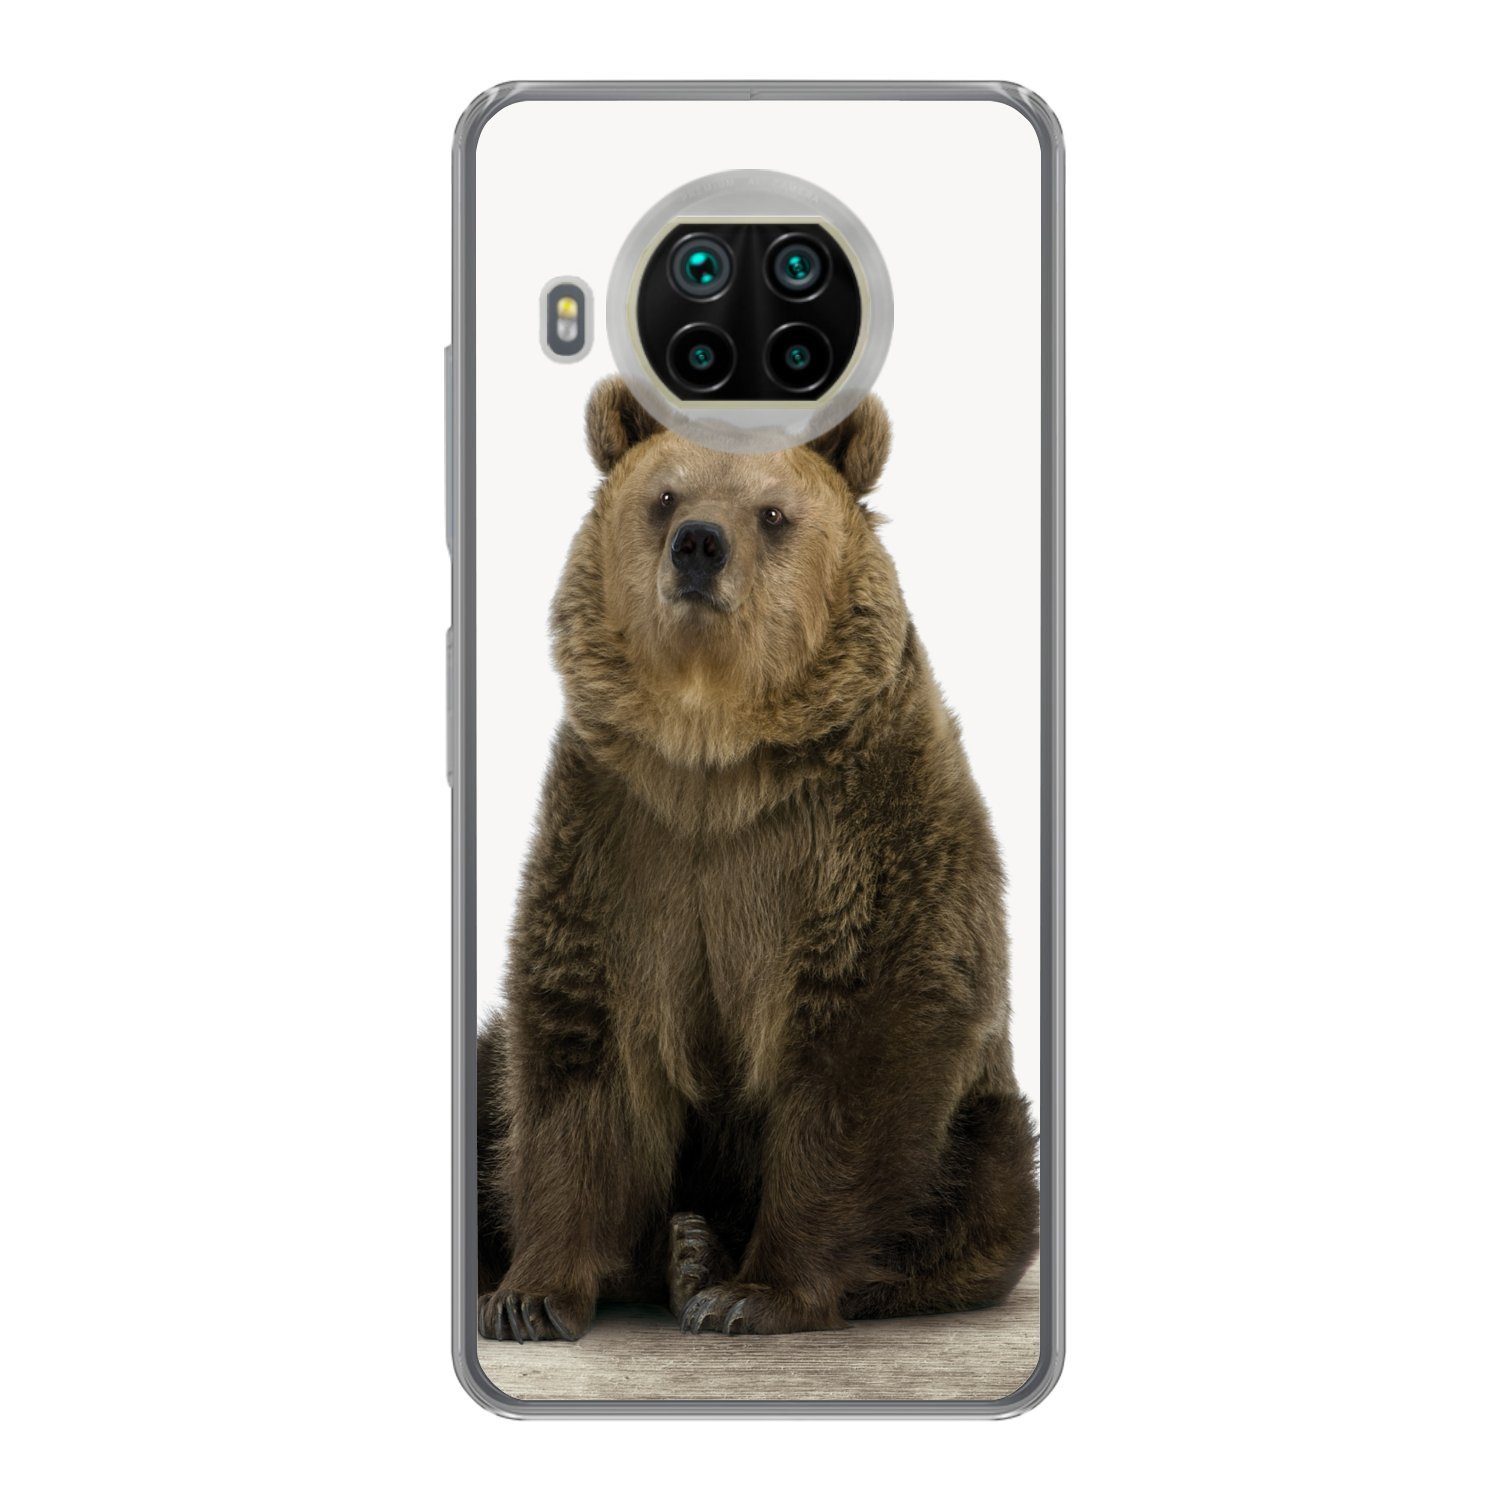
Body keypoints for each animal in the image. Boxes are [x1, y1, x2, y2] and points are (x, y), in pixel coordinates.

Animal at [476, 377, 1039, 1341]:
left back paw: (710, 1258)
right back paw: (674, 1250)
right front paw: (529, 1295)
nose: (700, 544)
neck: (717, 758)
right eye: (665, 497)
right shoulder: (621, 839)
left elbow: (864, 1047)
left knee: (981, 1189)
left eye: (772, 512)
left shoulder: (862, 833)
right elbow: (578, 1050)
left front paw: (755, 1292)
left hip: (983, 1130)